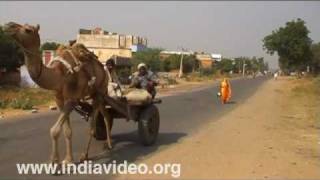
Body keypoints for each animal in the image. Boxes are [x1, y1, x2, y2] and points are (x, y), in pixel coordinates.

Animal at [1, 21, 120, 164]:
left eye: (28, 30)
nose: (8, 25)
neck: (59, 75)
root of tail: (103, 69)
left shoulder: (72, 99)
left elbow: (54, 130)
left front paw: (55, 162)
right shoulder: (59, 100)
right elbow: (67, 131)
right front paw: (68, 159)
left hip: (100, 91)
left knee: (93, 126)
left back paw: (86, 154)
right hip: (96, 94)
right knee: (107, 115)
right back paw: (108, 144)